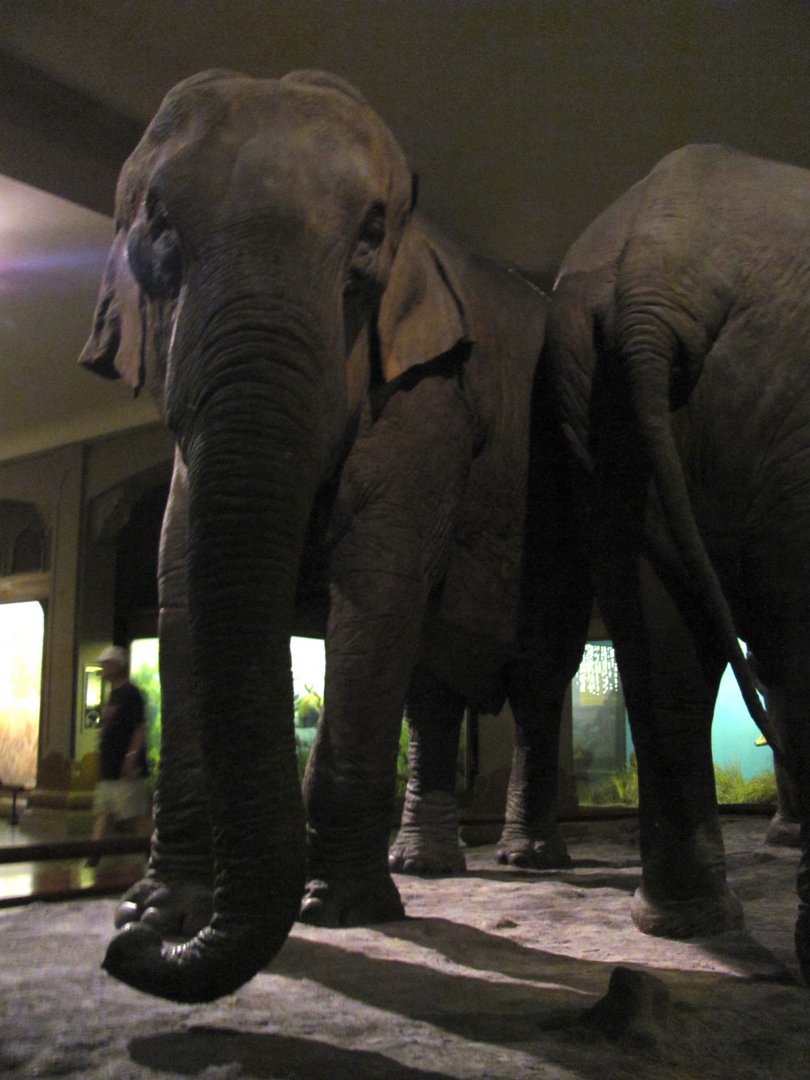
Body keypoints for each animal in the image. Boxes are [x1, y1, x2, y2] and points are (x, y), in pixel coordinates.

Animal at [79, 68, 590, 1002]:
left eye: (372, 237)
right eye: (157, 227)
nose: (124, 947)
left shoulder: (430, 394)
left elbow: (377, 583)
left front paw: (337, 911)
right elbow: (180, 584)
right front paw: (159, 907)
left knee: (538, 677)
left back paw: (528, 862)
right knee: (431, 688)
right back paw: (428, 868)